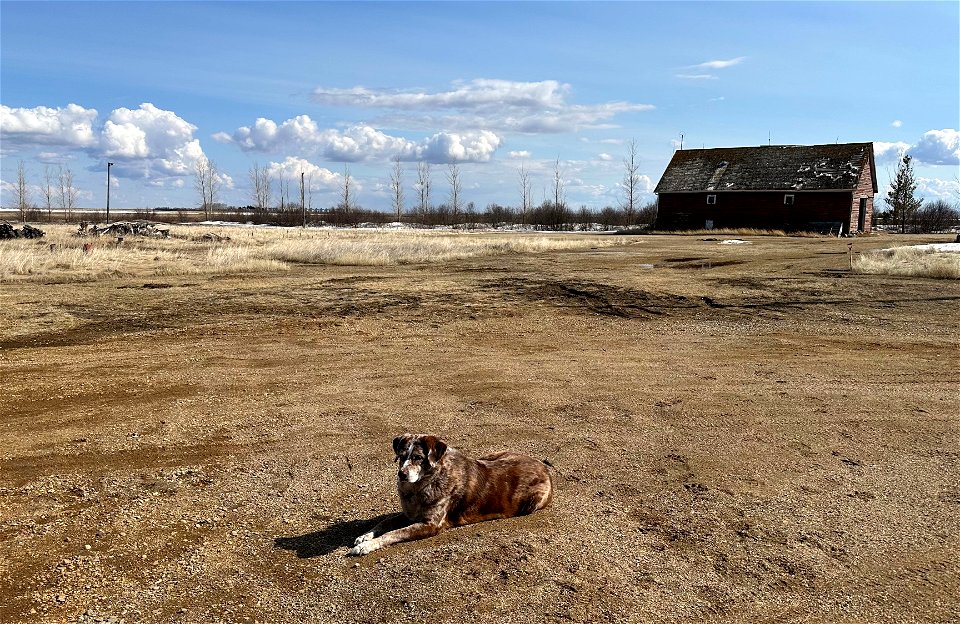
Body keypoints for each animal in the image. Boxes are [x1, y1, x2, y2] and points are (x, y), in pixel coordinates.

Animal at [348, 434, 552, 556]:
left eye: (418, 458)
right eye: (402, 455)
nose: (401, 474)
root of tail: (545, 467)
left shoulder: (430, 525)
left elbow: (393, 533)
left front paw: (366, 546)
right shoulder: (409, 514)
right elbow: (385, 522)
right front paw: (365, 536)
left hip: (532, 503)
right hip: (492, 455)